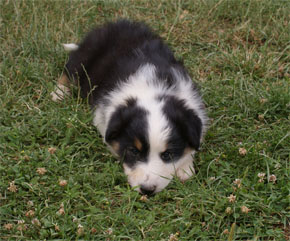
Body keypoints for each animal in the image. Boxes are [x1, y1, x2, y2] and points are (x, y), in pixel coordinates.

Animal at [51, 19, 207, 196]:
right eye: (134, 151)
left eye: (167, 155)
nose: (147, 190)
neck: (153, 91)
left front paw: (185, 168)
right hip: (85, 57)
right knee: (69, 69)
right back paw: (59, 92)